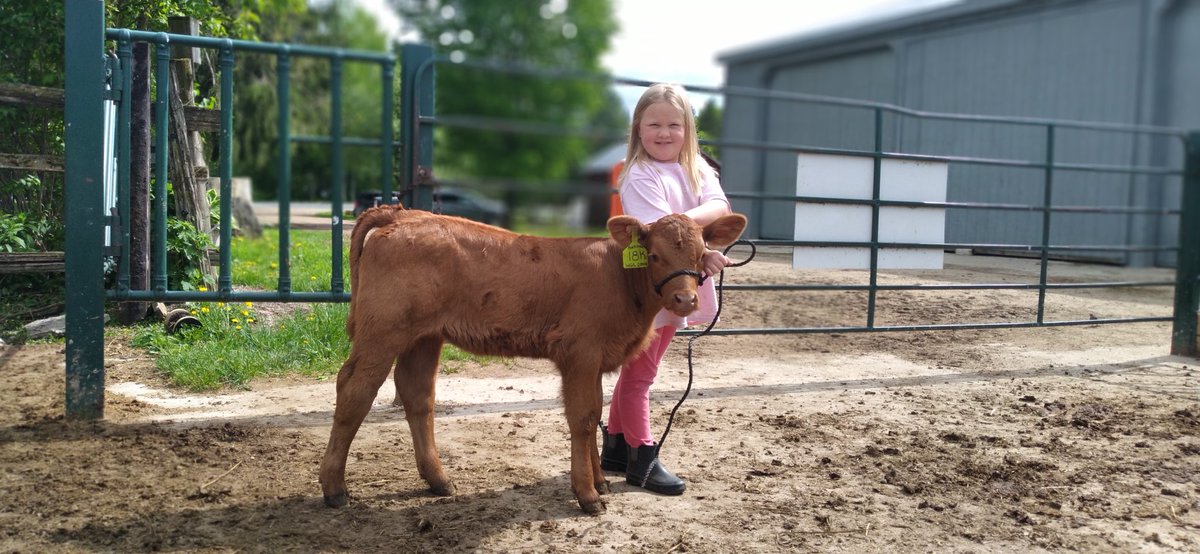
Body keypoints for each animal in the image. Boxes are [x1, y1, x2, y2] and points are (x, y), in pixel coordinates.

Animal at [319, 204, 747, 515]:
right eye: (654, 255)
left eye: (701, 254)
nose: (685, 300)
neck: (620, 278)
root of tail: (404, 213)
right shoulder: (580, 351)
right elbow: (582, 418)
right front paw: (588, 495)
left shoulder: (594, 359)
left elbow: (595, 412)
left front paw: (600, 481)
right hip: (383, 331)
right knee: (354, 390)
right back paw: (334, 488)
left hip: (423, 336)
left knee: (417, 395)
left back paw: (438, 480)